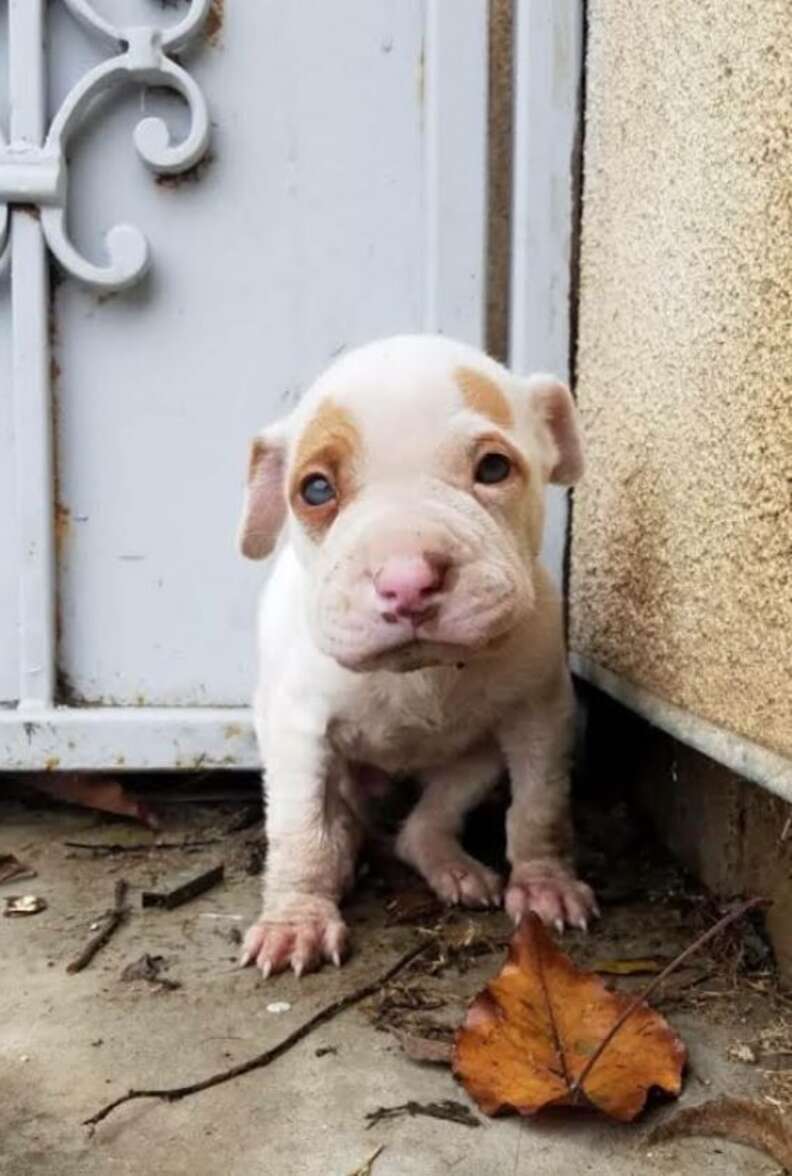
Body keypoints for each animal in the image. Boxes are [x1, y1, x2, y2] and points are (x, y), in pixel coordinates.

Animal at [237, 331, 595, 973]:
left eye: (494, 468)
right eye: (316, 489)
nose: (406, 580)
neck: (418, 672)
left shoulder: (540, 714)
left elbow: (540, 805)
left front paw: (545, 882)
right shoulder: (298, 731)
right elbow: (299, 831)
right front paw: (297, 918)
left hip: (476, 761)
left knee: (424, 823)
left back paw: (449, 865)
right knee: (336, 822)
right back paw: (342, 854)